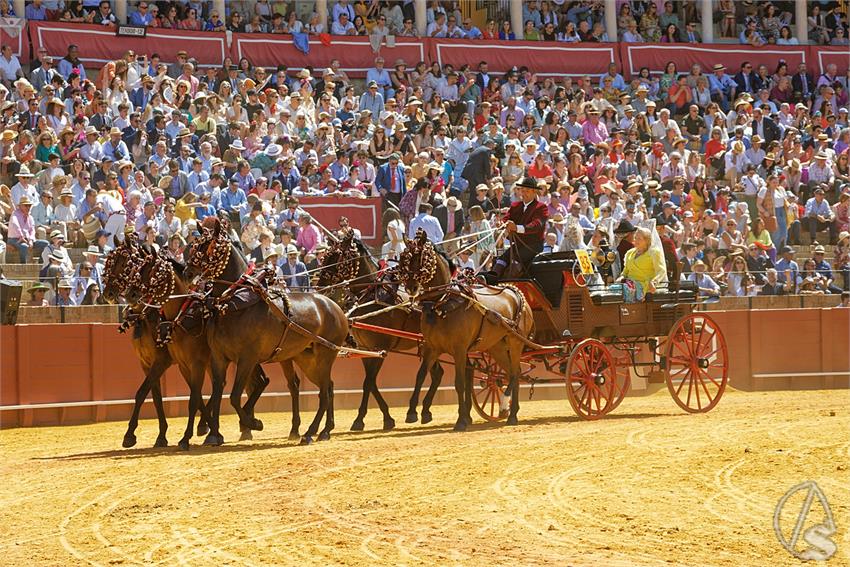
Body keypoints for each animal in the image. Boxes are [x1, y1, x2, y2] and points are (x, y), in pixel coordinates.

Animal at [184, 217, 346, 444]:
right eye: (193, 244)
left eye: (208, 246)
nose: (187, 272)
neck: (234, 302)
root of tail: (336, 307)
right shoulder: (219, 357)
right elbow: (217, 393)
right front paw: (214, 434)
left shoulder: (247, 358)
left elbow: (234, 396)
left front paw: (253, 423)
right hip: (307, 359)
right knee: (327, 387)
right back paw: (324, 429)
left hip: (325, 355)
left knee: (323, 393)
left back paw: (311, 432)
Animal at [314, 233, 440, 432]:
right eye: (325, 257)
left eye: (336, 257)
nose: (320, 286)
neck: (373, 296)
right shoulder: (367, 349)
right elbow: (370, 383)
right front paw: (379, 418)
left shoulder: (380, 348)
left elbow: (368, 382)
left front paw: (365, 419)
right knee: (437, 373)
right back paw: (426, 411)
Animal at [396, 231, 528, 430]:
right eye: (404, 259)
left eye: (421, 259)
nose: (411, 288)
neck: (442, 303)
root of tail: (514, 291)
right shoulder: (431, 347)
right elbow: (420, 376)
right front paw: (412, 412)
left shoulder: (459, 349)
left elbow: (459, 382)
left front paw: (461, 420)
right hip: (496, 347)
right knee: (513, 372)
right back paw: (512, 412)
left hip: (515, 342)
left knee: (514, 373)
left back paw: (508, 409)